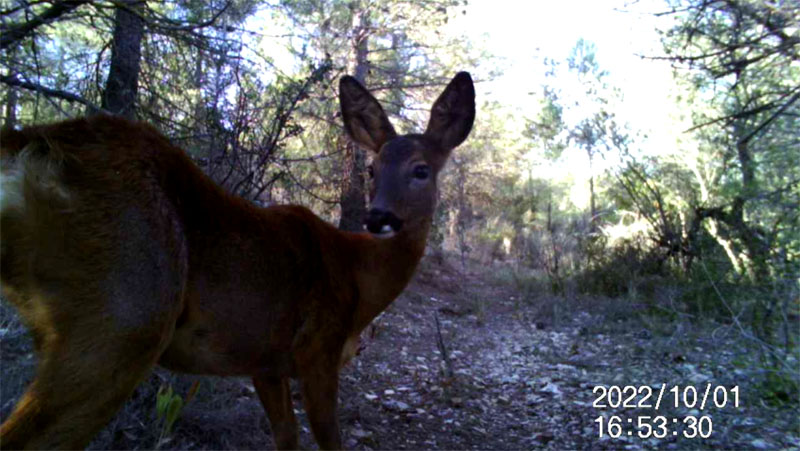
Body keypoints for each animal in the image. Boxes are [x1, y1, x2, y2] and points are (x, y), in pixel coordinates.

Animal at [0, 72, 476, 450]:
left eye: (421, 170)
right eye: (372, 169)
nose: (378, 217)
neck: (359, 279)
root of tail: (28, 146)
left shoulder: (265, 362)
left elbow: (286, 438)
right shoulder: (318, 350)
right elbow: (329, 442)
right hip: (126, 314)